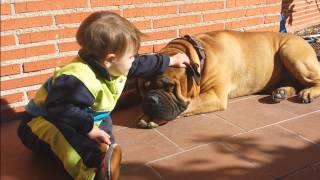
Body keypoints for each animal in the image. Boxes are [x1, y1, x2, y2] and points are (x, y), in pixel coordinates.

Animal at [137, 29, 320, 128]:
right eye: (143, 89)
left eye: (169, 86)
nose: (151, 100)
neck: (200, 54)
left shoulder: (215, 96)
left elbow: (190, 104)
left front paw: (152, 118)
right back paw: (281, 92)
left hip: (290, 52)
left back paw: (308, 92)